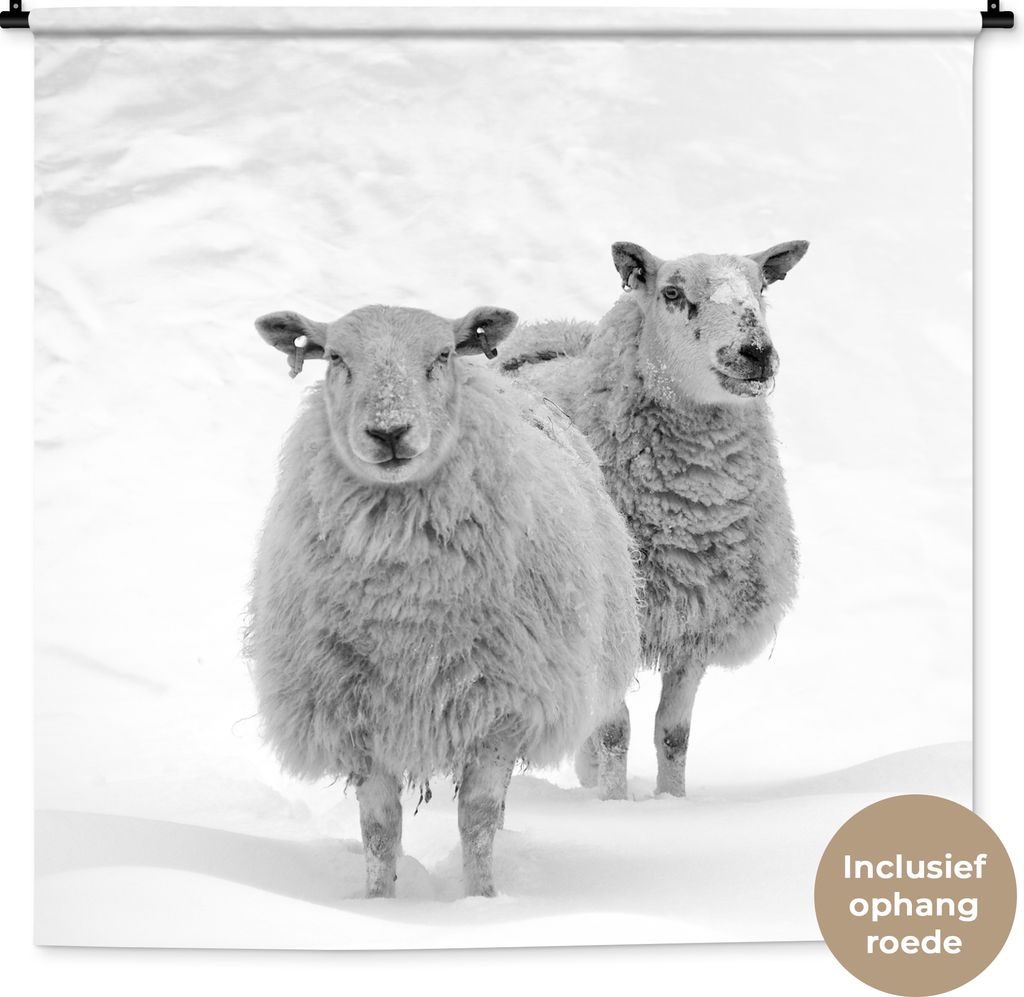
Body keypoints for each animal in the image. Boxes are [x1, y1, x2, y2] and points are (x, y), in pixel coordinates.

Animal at [245, 303, 639, 898]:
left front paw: (481, 900)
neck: (405, 607)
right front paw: (378, 901)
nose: (388, 431)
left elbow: (476, 819)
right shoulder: (356, 712)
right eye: (335, 357)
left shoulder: (503, 707)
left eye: (443, 355)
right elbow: (379, 828)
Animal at [499, 240, 808, 798]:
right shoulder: (614, 621)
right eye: (672, 294)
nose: (755, 351)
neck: (691, 509)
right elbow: (614, 731)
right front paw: (615, 804)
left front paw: (670, 802)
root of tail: (540, 338)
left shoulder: (695, 624)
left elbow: (673, 733)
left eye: (761, 287)